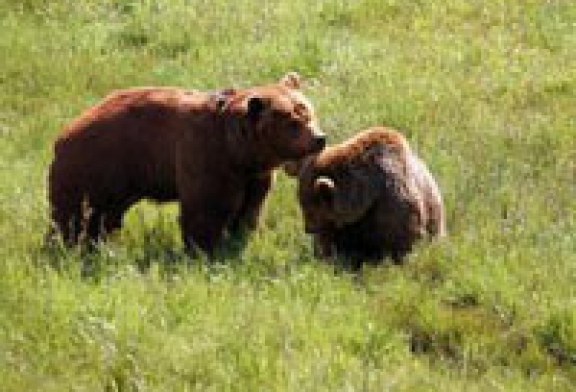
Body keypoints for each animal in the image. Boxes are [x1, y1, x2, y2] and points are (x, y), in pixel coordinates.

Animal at [47, 72, 326, 254]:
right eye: (293, 123)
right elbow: (206, 209)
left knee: (103, 216)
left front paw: (241, 239)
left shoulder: (253, 176)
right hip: (96, 166)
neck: (238, 151)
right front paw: (206, 250)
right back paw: (66, 245)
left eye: (309, 114)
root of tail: (63, 135)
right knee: (75, 213)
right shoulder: (207, 157)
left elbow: (250, 208)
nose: (319, 139)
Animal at [292, 126, 446, 266]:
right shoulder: (344, 224)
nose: (308, 228)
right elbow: (332, 243)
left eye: (310, 209)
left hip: (434, 218)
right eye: (302, 204)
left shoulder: (392, 199)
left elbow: (404, 237)